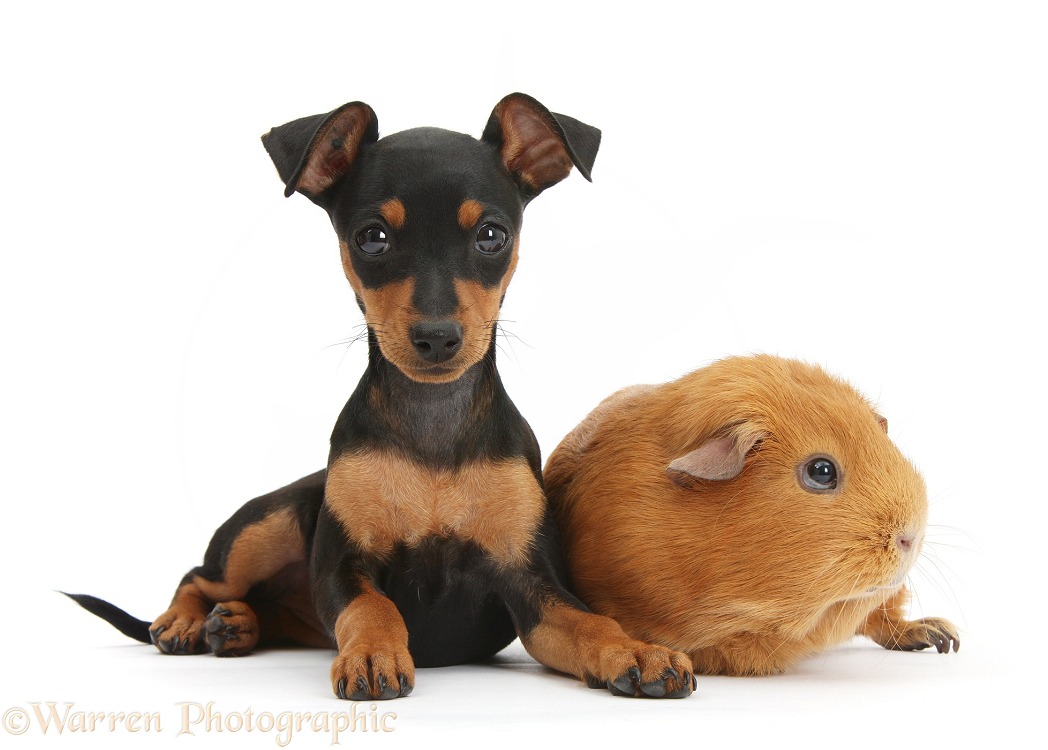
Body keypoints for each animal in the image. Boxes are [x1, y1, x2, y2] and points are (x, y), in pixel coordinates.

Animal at [67, 95, 695, 703]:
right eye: (373, 238)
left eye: (492, 235)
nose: (437, 337)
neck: (433, 424)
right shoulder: (341, 569)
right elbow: (374, 606)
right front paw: (373, 655)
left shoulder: (532, 587)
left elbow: (592, 623)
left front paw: (638, 651)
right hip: (271, 523)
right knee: (199, 576)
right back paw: (185, 621)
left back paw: (238, 624)